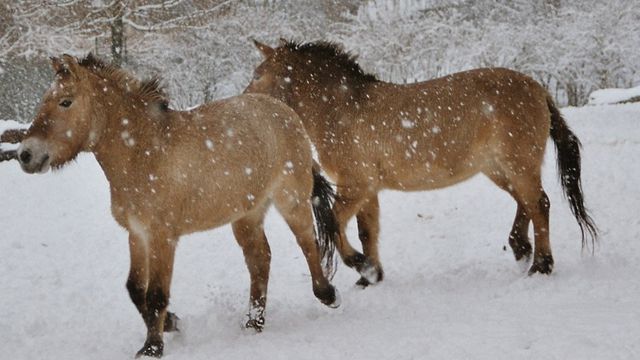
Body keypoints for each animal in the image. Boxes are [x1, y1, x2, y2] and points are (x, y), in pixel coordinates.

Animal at [15, 53, 340, 358]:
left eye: (65, 102)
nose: (25, 154)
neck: (143, 152)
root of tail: (285, 112)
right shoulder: (137, 233)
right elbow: (135, 289)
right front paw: (171, 323)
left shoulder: (163, 237)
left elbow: (157, 293)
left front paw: (152, 347)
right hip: (247, 215)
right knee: (260, 259)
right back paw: (253, 323)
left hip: (291, 199)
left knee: (308, 243)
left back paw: (328, 295)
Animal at [248, 39, 596, 286]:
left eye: (258, 75)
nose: (246, 100)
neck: (343, 108)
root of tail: (537, 88)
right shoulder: (368, 189)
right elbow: (366, 231)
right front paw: (370, 276)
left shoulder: (355, 185)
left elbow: (335, 224)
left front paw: (363, 267)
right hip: (499, 169)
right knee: (527, 203)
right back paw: (521, 248)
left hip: (517, 164)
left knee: (539, 204)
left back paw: (541, 265)